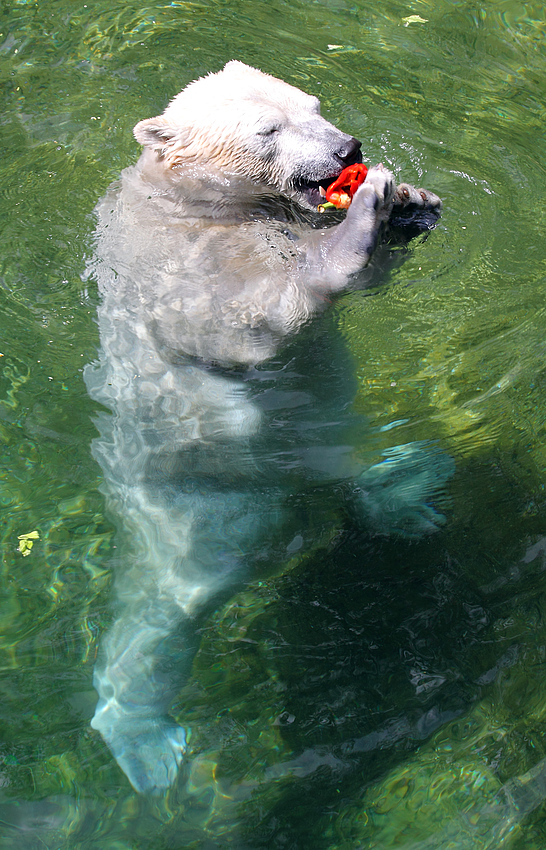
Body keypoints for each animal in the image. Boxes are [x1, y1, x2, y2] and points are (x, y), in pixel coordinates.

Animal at [85, 61, 448, 796]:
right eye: (268, 129)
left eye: (313, 103)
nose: (346, 148)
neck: (195, 200)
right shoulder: (175, 257)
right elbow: (244, 317)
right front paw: (368, 213)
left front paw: (413, 204)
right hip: (203, 503)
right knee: (173, 609)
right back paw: (143, 741)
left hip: (311, 445)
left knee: (337, 468)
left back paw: (403, 495)